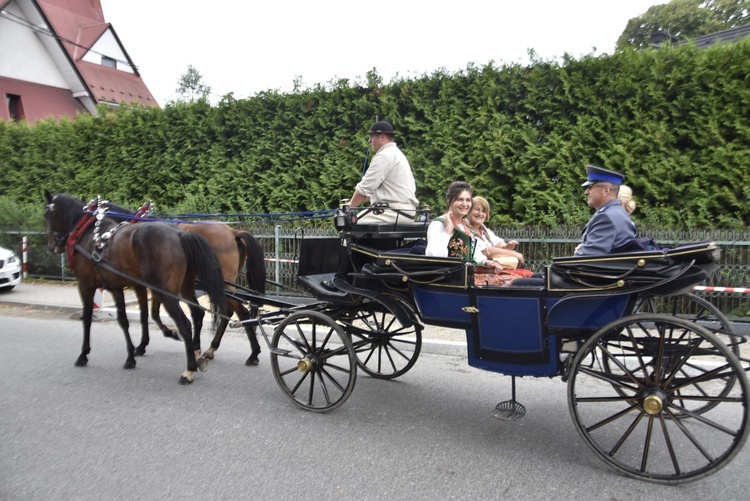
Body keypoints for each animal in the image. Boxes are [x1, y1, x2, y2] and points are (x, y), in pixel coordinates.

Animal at [43, 191, 226, 382]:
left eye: (48, 214)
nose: (52, 246)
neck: (88, 232)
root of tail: (180, 235)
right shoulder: (121, 287)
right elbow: (129, 319)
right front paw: (133, 354)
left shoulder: (86, 285)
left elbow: (87, 318)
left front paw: (83, 355)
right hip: (185, 287)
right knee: (197, 314)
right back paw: (197, 354)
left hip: (167, 293)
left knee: (185, 324)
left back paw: (189, 369)